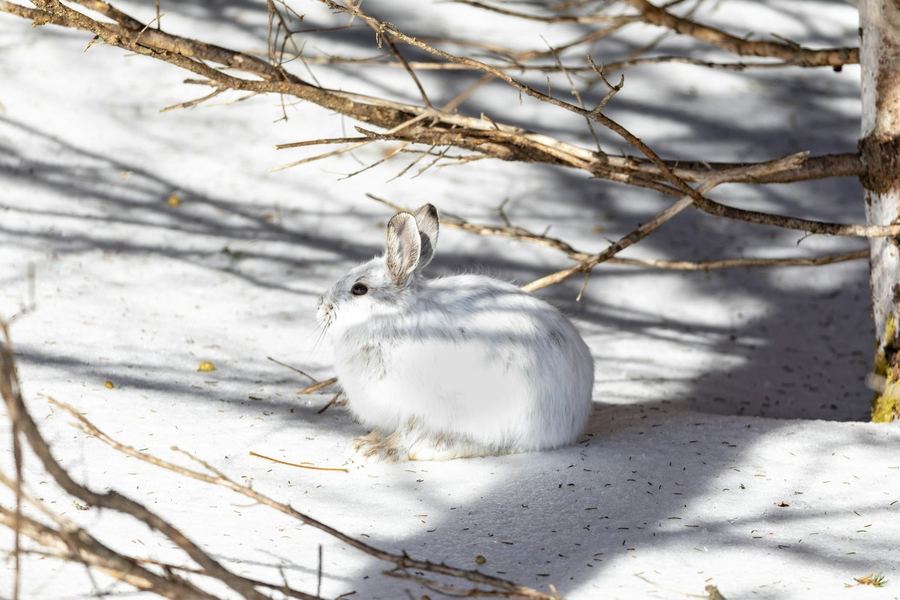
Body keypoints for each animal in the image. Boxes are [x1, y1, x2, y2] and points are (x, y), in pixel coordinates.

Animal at [316, 203, 594, 461]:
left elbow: (406, 432)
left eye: (359, 289)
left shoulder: (417, 409)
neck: (392, 318)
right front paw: (366, 441)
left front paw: (378, 450)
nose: (321, 307)